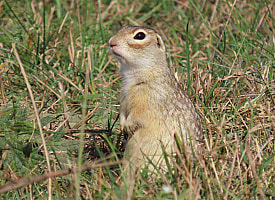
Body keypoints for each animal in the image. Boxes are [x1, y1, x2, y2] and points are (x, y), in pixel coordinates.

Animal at [109, 25, 204, 172]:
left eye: (140, 36)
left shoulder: (147, 100)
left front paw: (128, 126)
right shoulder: (124, 98)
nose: (111, 42)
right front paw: (123, 126)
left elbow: (137, 116)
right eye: (122, 28)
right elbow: (123, 113)